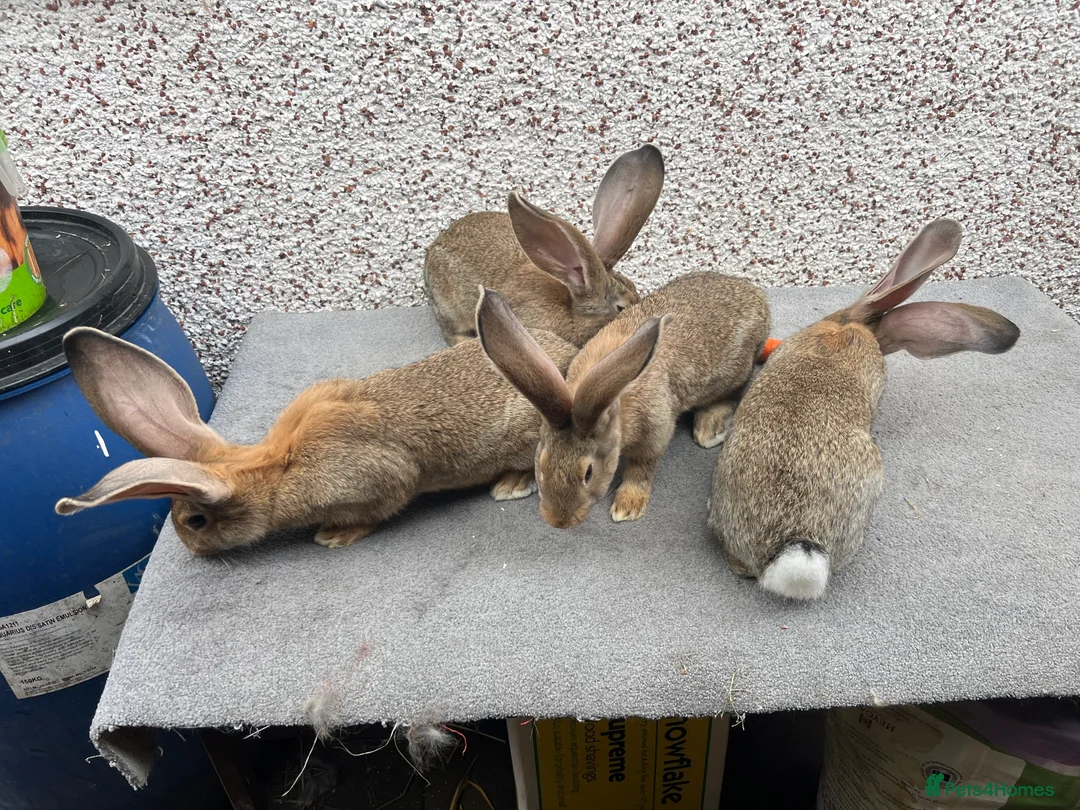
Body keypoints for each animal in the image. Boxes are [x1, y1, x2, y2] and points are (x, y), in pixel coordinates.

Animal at [54, 323, 577, 556]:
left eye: (196, 521)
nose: (189, 548)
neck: (274, 470)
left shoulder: (379, 482)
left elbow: (379, 508)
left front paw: (332, 536)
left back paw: (510, 485)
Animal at [476, 271, 770, 528]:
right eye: (543, 463)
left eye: (589, 472)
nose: (558, 522)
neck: (610, 407)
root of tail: (757, 296)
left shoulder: (655, 430)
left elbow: (641, 468)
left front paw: (628, 506)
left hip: (735, 370)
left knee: (736, 390)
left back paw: (710, 426)